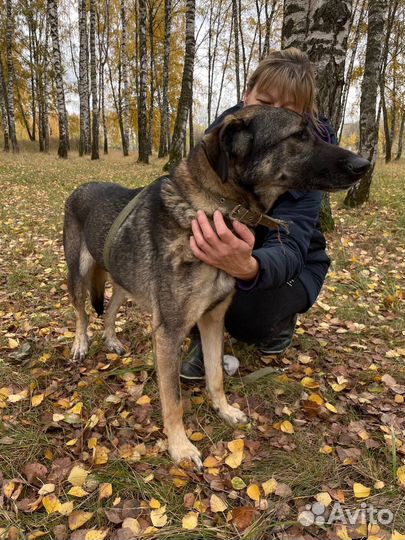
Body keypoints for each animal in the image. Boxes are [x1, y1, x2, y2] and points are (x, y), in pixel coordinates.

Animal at [63, 105, 370, 468]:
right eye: (298, 135)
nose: (365, 165)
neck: (215, 208)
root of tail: (79, 188)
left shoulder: (212, 318)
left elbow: (216, 375)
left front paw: (224, 410)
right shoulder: (169, 332)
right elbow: (173, 400)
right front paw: (180, 447)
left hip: (124, 279)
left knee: (110, 308)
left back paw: (111, 339)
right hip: (78, 274)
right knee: (82, 313)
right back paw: (81, 344)